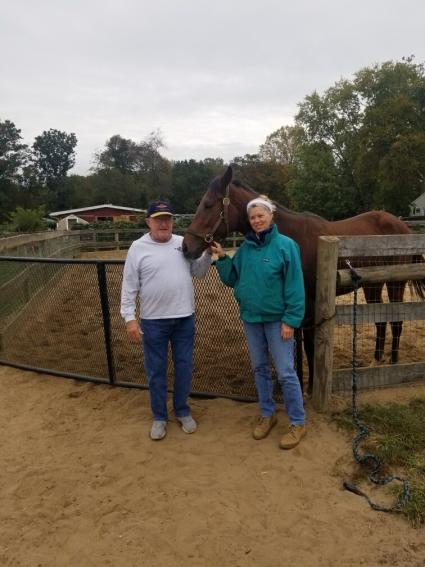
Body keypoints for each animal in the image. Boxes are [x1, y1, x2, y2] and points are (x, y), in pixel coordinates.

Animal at [181, 166, 424, 392]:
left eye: (208, 204)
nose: (186, 246)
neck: (294, 237)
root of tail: (403, 228)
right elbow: (297, 342)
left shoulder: (311, 301)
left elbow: (309, 343)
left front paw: (309, 386)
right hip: (372, 285)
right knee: (380, 319)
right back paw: (376, 360)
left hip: (395, 284)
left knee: (396, 320)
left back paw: (393, 363)